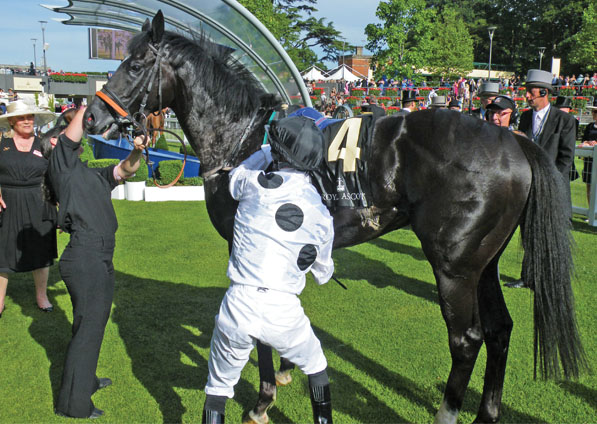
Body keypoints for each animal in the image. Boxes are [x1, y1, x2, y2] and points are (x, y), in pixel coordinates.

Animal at [81, 11, 584, 424]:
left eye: (136, 63)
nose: (91, 116)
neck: (243, 139)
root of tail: (512, 139)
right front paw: (287, 371)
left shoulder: (246, 248)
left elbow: (261, 331)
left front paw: (263, 399)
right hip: (485, 263)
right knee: (500, 330)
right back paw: (487, 412)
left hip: (454, 266)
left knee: (467, 339)